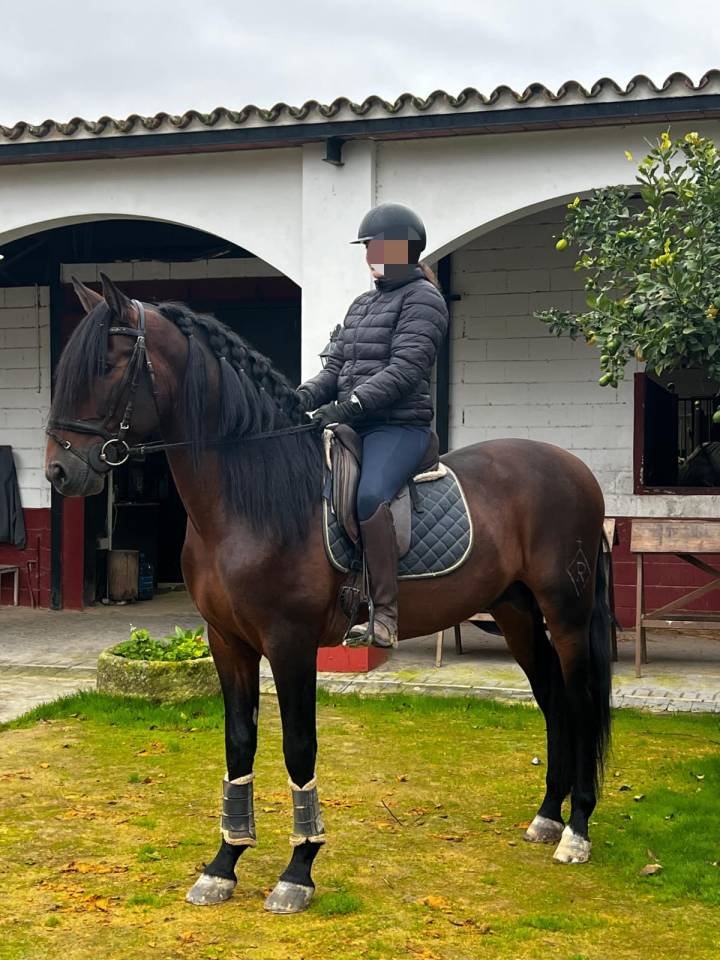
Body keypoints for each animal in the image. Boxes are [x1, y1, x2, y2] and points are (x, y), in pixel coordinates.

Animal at [44, 274, 612, 914]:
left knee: (580, 701)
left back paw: (576, 831)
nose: (60, 473)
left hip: (566, 614)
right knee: (554, 701)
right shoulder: (228, 641)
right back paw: (547, 817)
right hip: (516, 613)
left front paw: (298, 870)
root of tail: (575, 468)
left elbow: (299, 747)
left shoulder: (291, 643)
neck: (251, 499)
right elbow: (239, 744)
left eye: (109, 364)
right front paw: (223, 865)